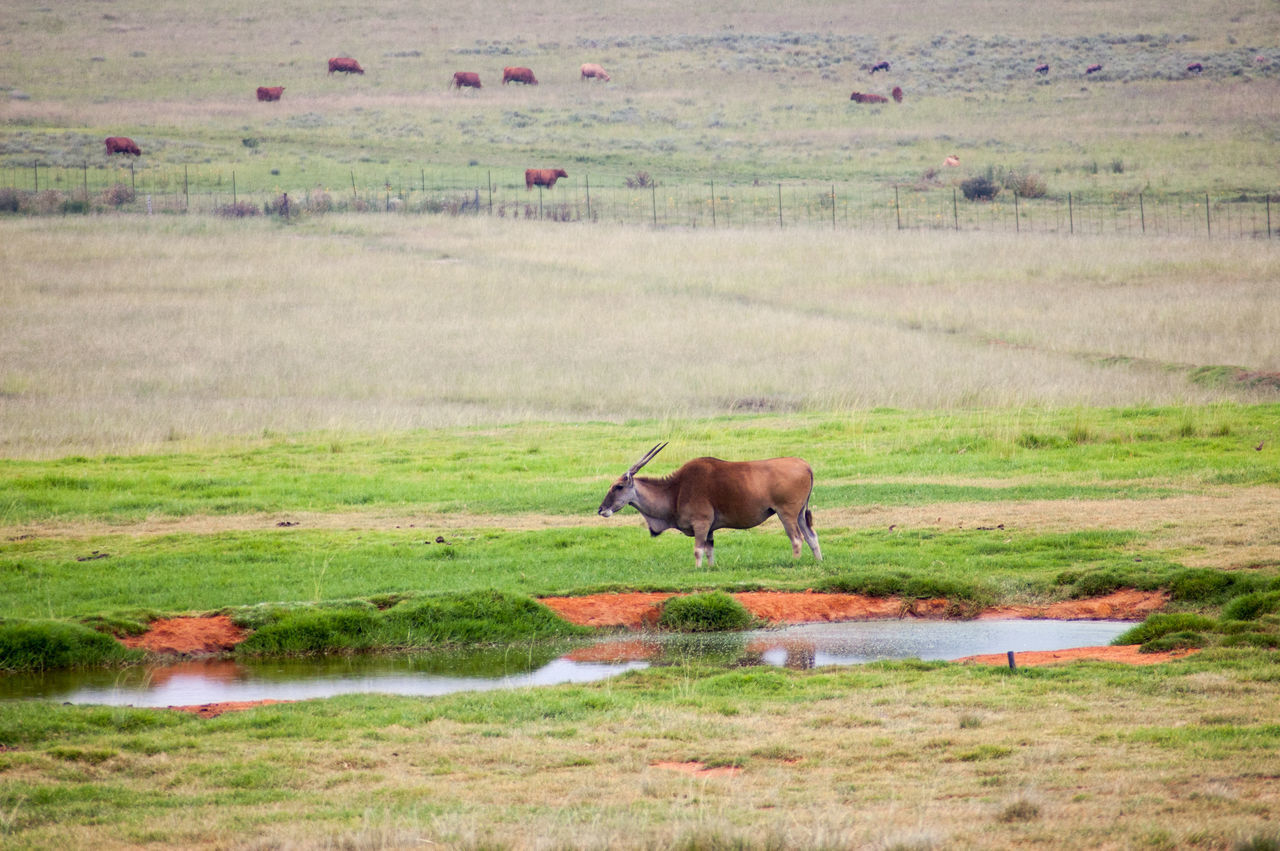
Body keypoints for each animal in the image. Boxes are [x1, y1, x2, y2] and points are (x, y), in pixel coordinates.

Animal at [596, 440, 824, 568]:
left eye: (618, 486)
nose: (601, 510)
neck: (676, 491)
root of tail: (806, 465)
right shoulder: (710, 529)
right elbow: (710, 550)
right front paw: (710, 570)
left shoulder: (701, 524)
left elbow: (698, 550)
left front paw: (697, 570)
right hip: (800, 514)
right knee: (811, 536)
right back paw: (818, 562)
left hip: (786, 513)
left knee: (797, 539)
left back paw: (794, 564)